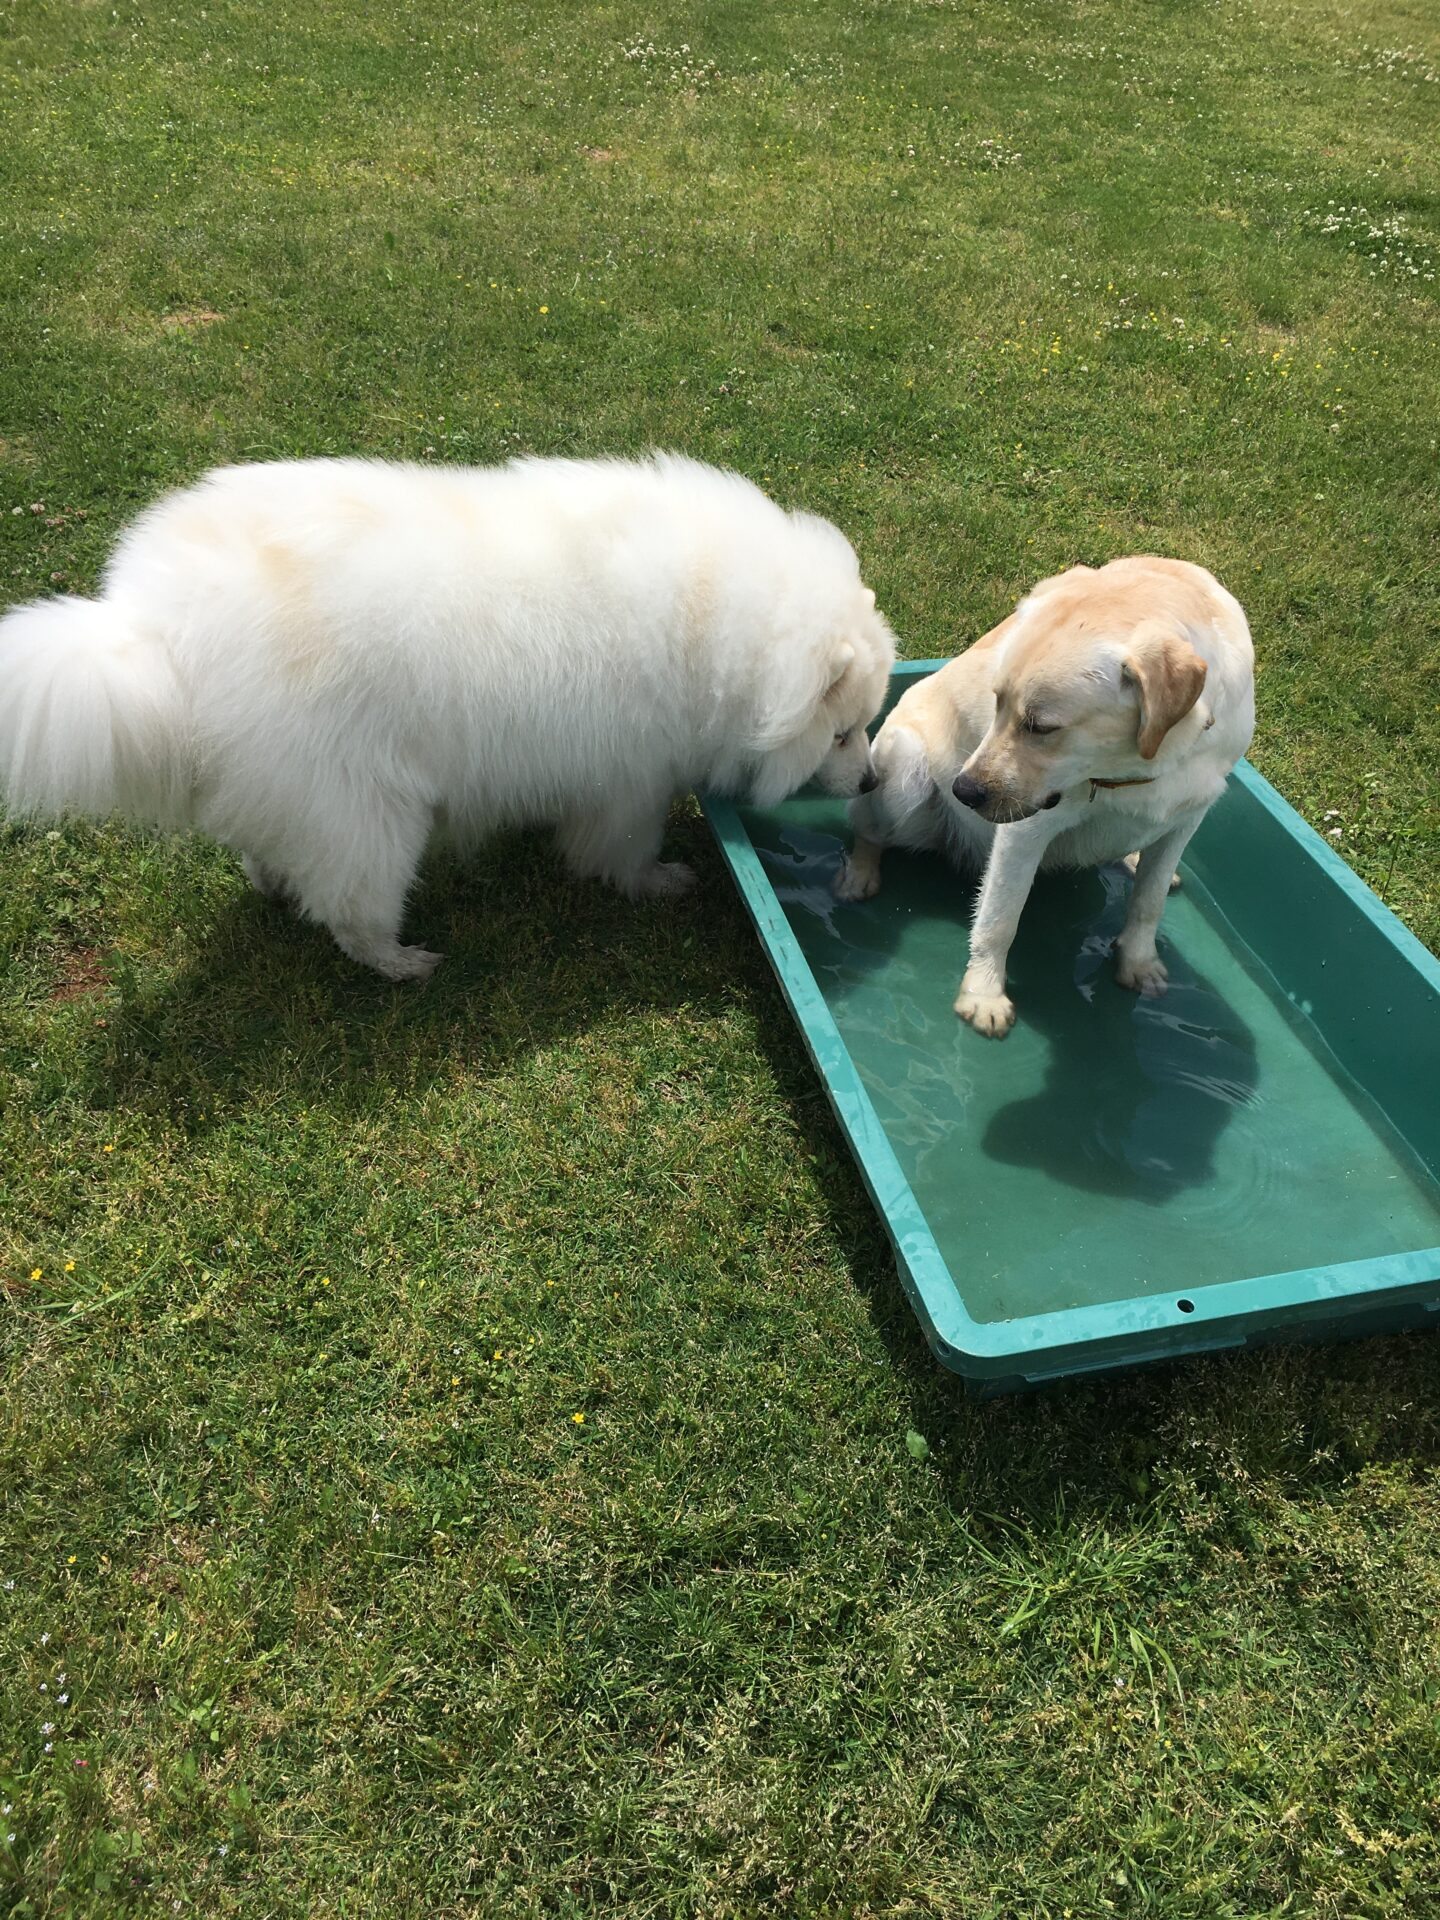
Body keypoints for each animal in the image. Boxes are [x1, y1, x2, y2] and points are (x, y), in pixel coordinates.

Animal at [0, 454, 894, 978]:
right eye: (841, 733)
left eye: (863, 728)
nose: (873, 779)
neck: (721, 622)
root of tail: (154, 629)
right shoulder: (632, 780)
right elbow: (622, 849)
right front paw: (657, 883)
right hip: (368, 815)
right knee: (350, 913)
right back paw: (405, 962)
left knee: (270, 854)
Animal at [836, 556, 1255, 1037]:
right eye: (996, 702)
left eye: (1040, 726)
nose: (963, 791)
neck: (1139, 767)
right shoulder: (1026, 829)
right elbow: (1001, 918)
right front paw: (984, 994)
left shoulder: (1188, 816)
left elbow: (1148, 903)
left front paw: (1139, 961)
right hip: (906, 772)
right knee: (870, 830)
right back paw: (860, 873)